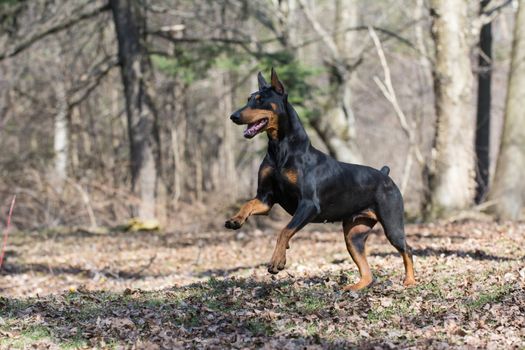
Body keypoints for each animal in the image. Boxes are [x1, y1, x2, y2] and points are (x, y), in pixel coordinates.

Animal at [224, 68, 414, 290]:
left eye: (261, 100)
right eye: (248, 99)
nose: (233, 116)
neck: (281, 148)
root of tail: (385, 174)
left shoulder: (308, 204)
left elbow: (284, 231)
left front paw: (277, 261)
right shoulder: (266, 199)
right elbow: (248, 204)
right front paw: (235, 220)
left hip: (392, 225)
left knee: (407, 249)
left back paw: (410, 280)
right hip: (353, 235)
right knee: (367, 272)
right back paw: (354, 287)